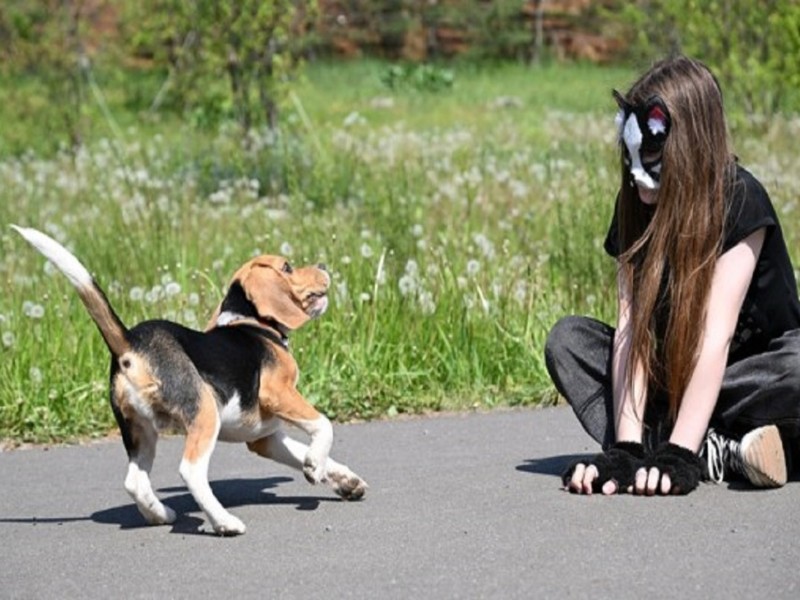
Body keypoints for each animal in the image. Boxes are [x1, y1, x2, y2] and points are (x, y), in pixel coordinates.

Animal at [10, 225, 368, 536]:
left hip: (139, 430)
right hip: (205, 412)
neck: (250, 322)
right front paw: (315, 466)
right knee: (191, 471)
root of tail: (130, 343)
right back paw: (224, 522)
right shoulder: (278, 393)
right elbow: (323, 425)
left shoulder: (264, 437)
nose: (323, 265)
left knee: (134, 481)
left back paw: (160, 514)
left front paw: (343, 479)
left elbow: (304, 450)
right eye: (288, 267)